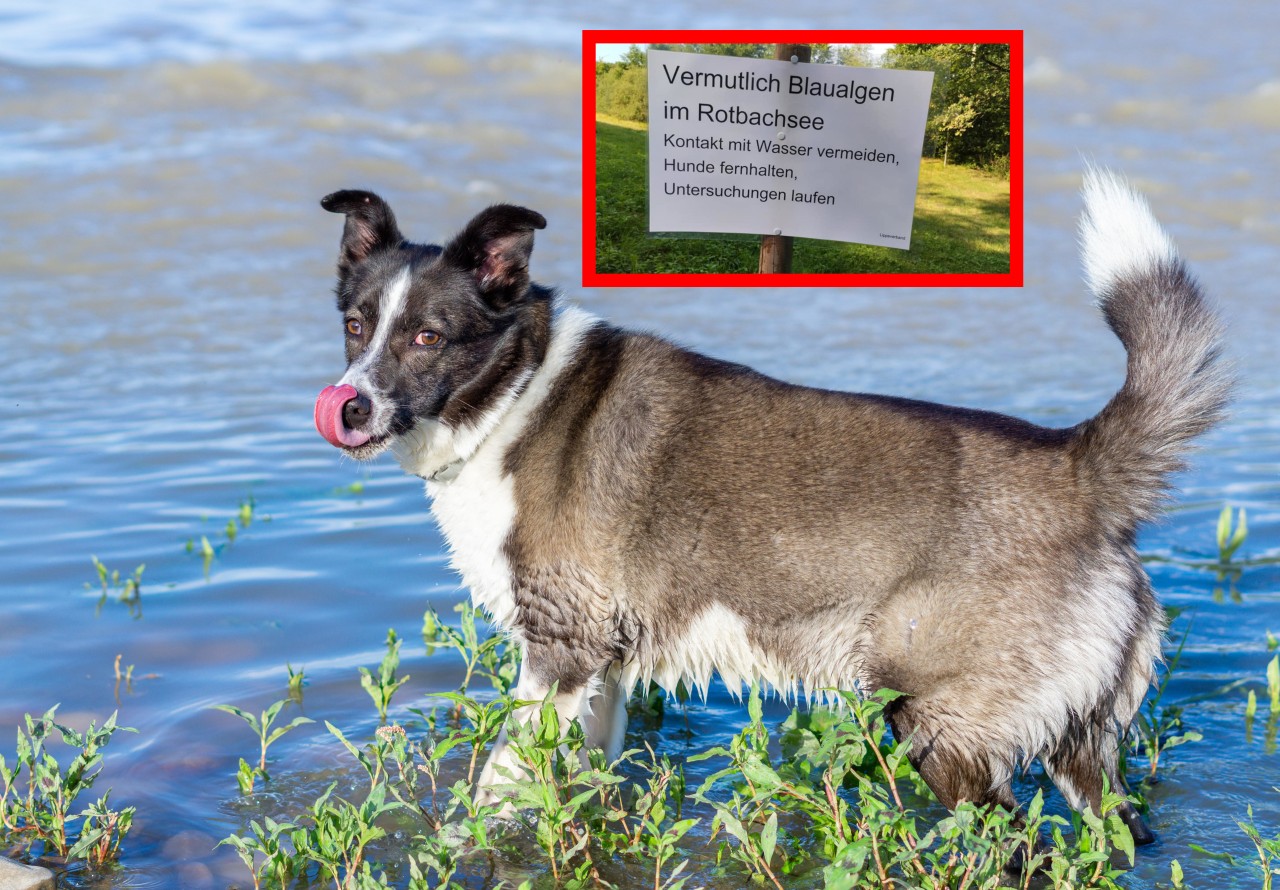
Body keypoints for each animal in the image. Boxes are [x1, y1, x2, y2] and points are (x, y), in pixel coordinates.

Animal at [314, 172, 1223, 840]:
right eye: (356, 326)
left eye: (429, 337)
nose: (348, 406)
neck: (516, 390)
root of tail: (1079, 467)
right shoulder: (603, 669)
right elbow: (585, 786)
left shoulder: (561, 655)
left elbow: (494, 792)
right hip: (1080, 751)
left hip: (943, 730)